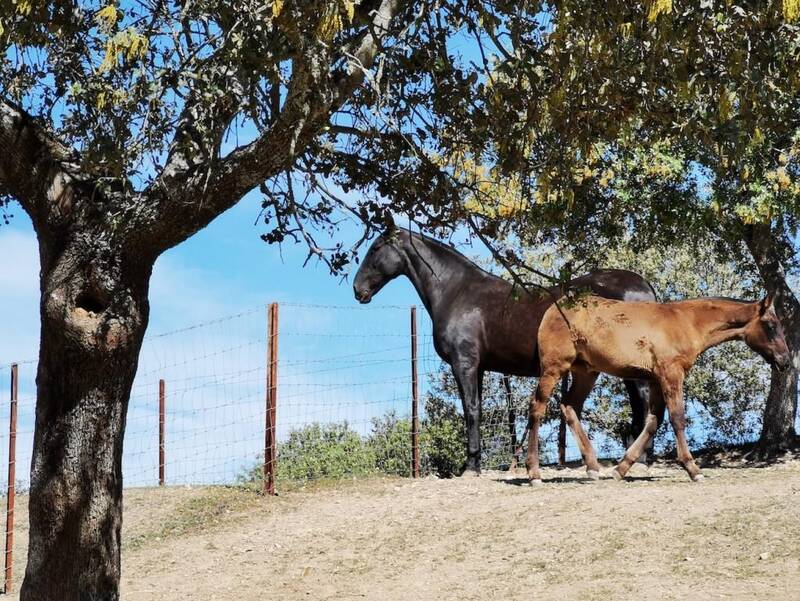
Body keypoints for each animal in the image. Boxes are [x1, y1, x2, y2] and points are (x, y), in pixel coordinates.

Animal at [528, 292, 792, 480]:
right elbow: (677, 418)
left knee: (569, 406)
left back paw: (593, 468)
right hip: (554, 368)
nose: (785, 361)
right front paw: (693, 469)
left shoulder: (656, 379)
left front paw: (621, 469)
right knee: (537, 407)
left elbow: (654, 421)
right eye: (770, 326)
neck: (687, 322)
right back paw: (534, 473)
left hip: (586, 372)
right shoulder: (671, 374)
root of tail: (552, 310)